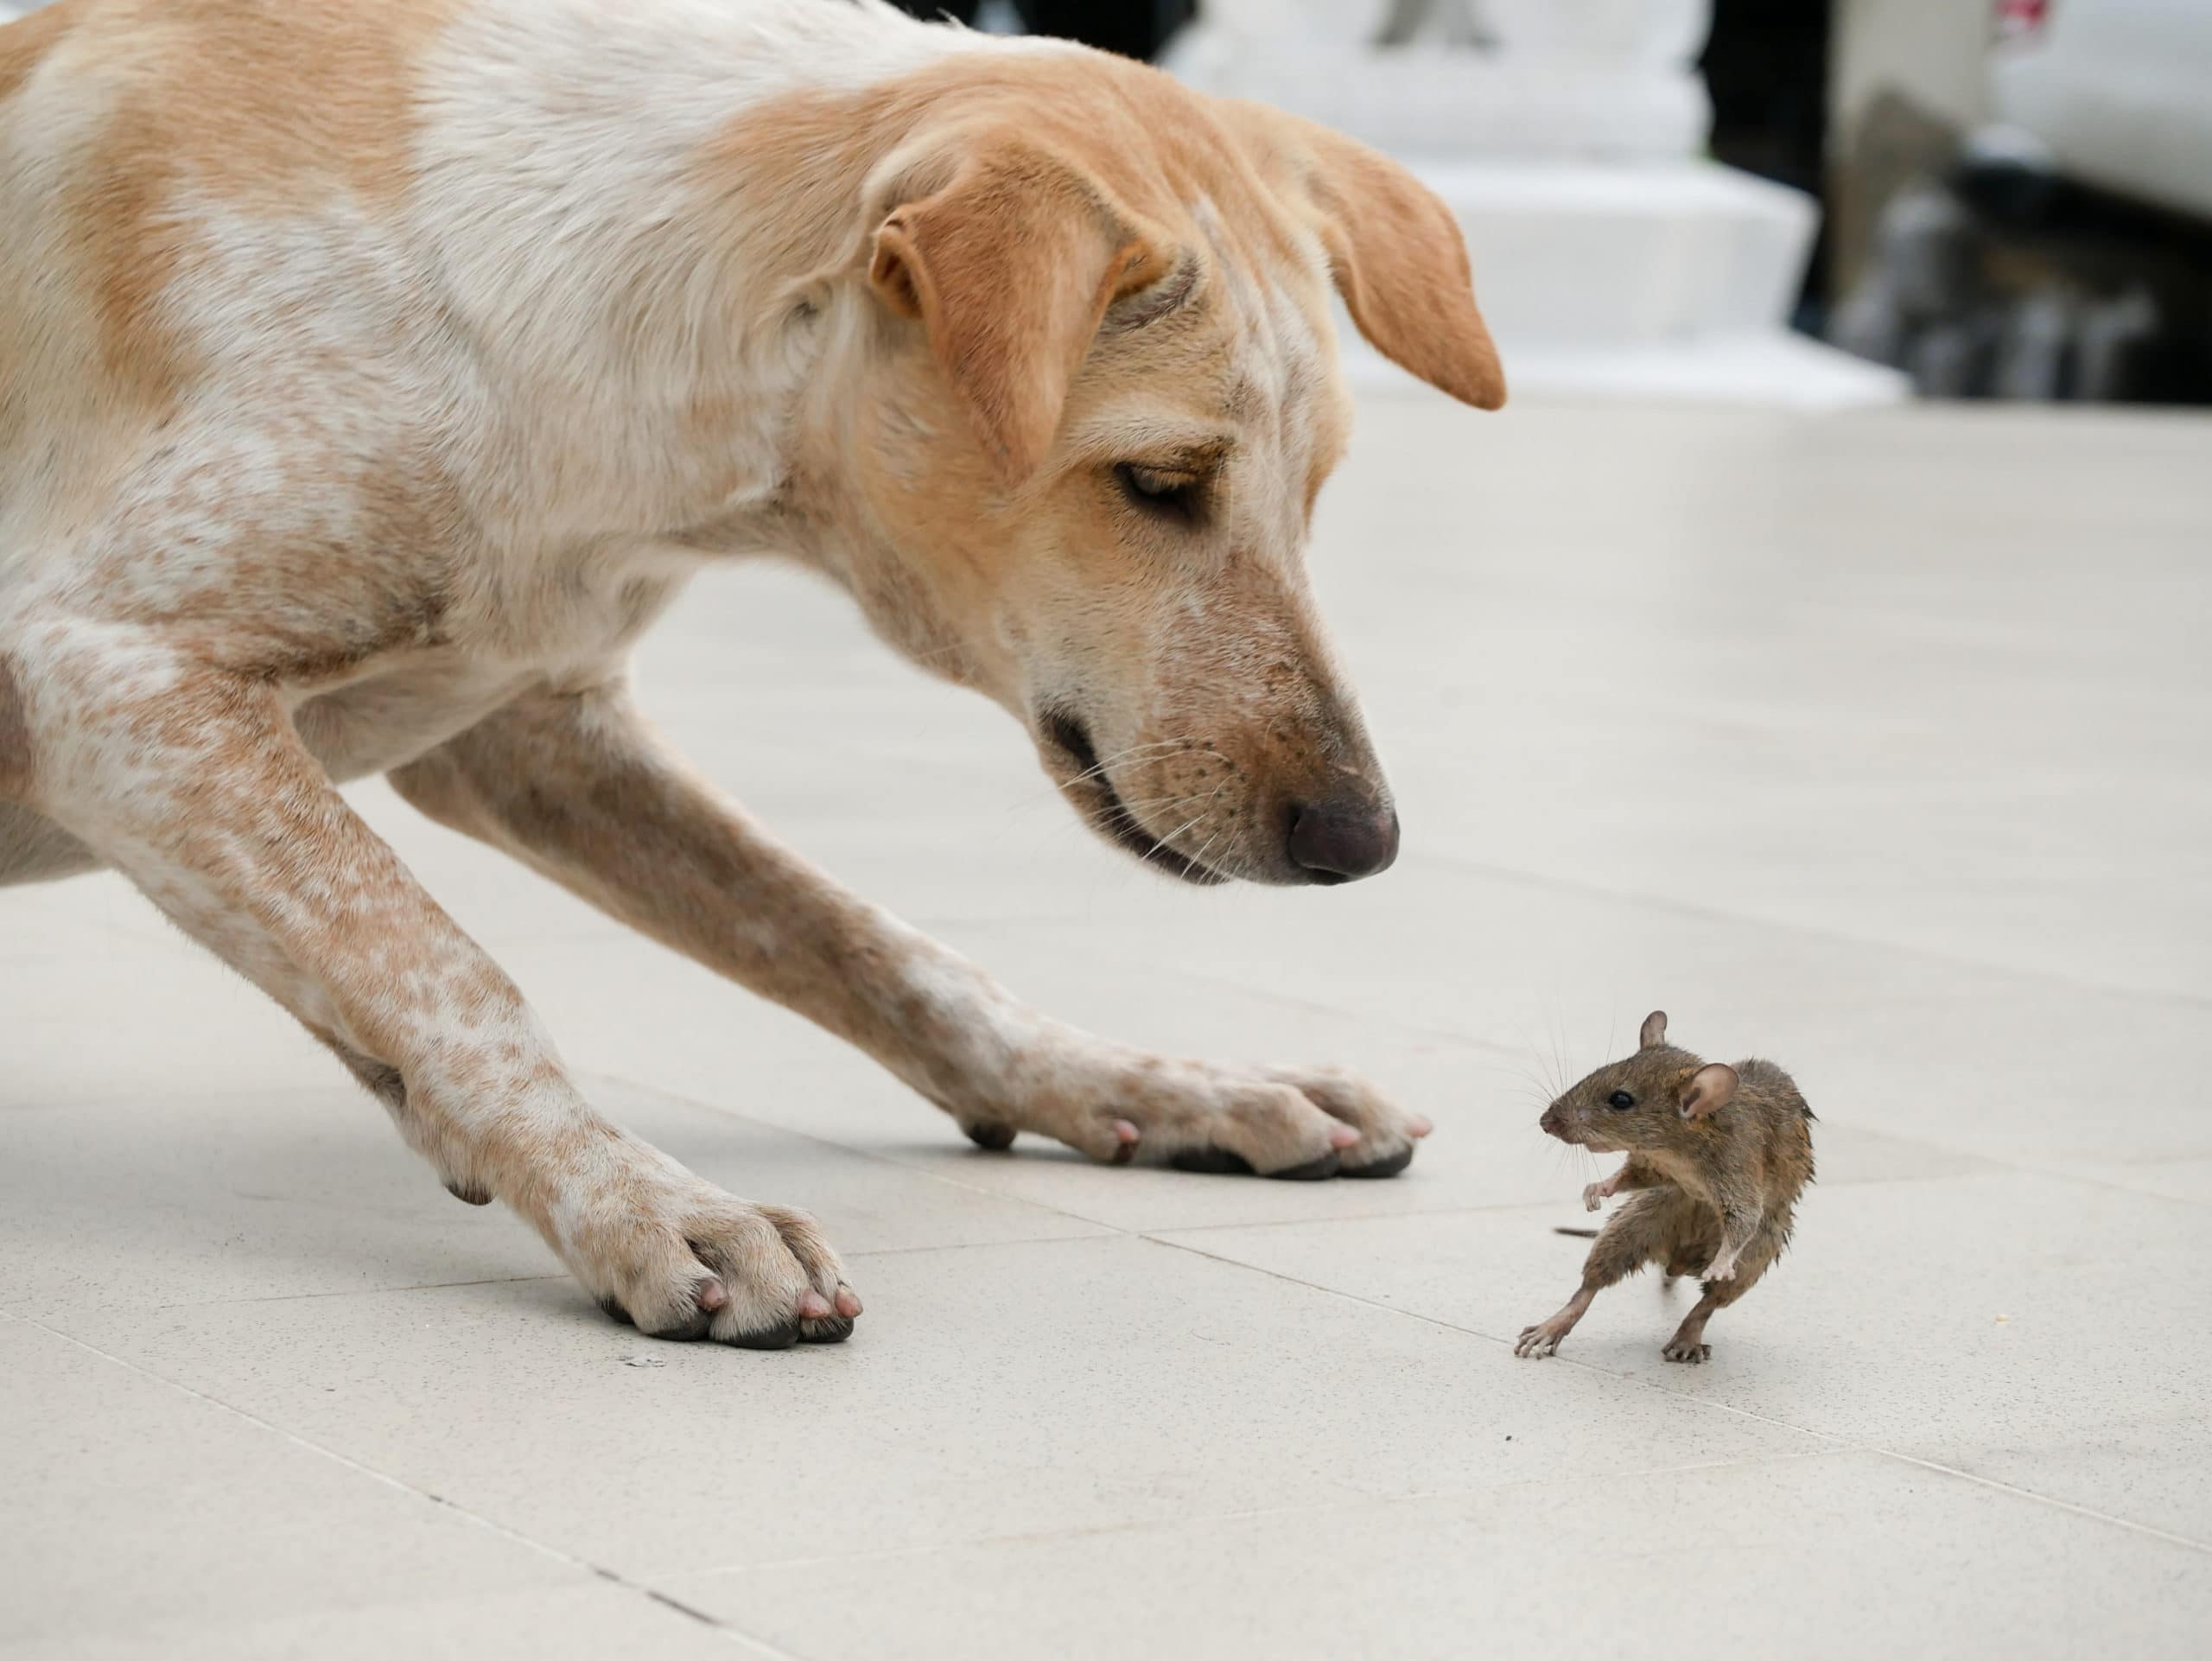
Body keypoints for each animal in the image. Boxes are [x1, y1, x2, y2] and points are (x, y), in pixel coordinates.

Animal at [0, 0, 1503, 1353]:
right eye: (1160, 482)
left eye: (1316, 486)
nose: (1363, 841)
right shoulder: (118, 687)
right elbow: (449, 974)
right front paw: (648, 1204)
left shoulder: (530, 732)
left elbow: (878, 951)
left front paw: (1164, 1085)